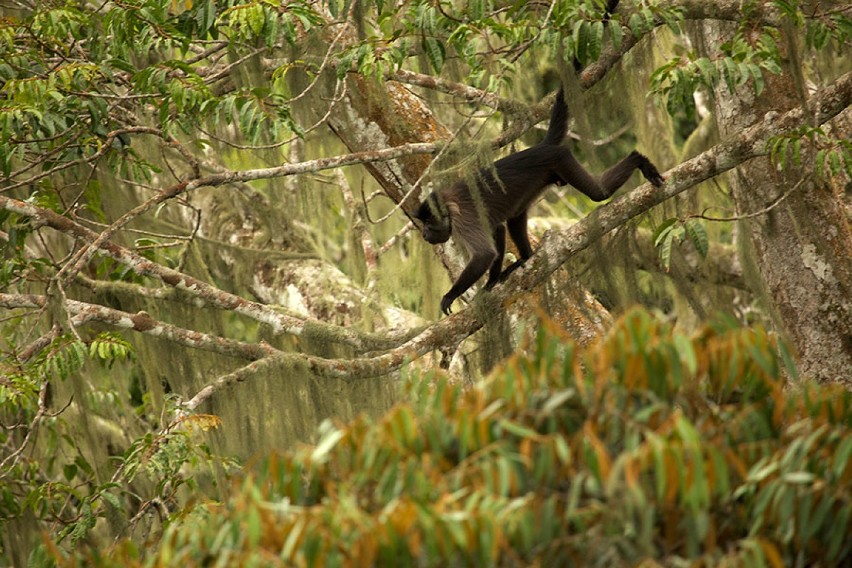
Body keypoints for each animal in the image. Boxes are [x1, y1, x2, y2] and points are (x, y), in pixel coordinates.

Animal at [412, 1, 664, 316]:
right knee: (514, 219)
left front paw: (452, 294)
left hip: (561, 159)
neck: (447, 203)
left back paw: (638, 159)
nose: (425, 235)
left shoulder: (463, 219)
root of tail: (543, 147)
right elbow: (497, 230)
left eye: (429, 226)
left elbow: (484, 253)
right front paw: (493, 280)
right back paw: (525, 258)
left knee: (598, 192)